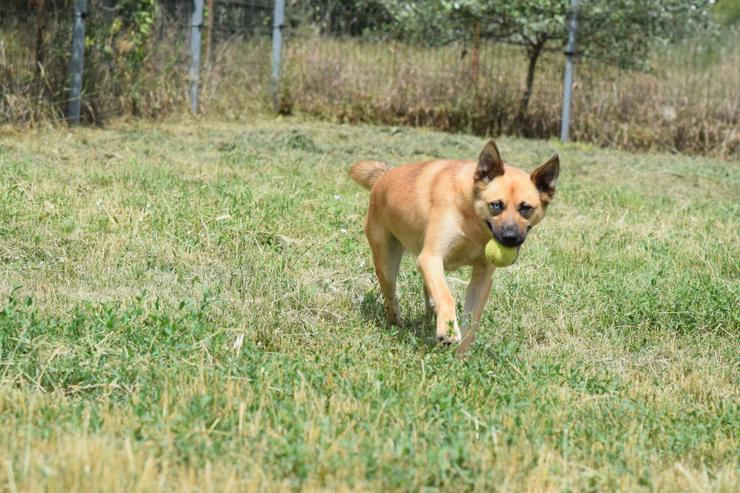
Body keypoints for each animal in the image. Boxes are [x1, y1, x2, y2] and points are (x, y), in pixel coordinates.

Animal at [350, 138, 556, 352]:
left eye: (525, 208)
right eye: (496, 205)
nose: (510, 237)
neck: (473, 219)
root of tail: (382, 177)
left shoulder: (482, 278)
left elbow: (472, 320)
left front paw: (461, 354)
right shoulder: (431, 257)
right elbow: (446, 295)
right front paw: (447, 332)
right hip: (387, 264)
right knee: (391, 298)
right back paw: (397, 326)